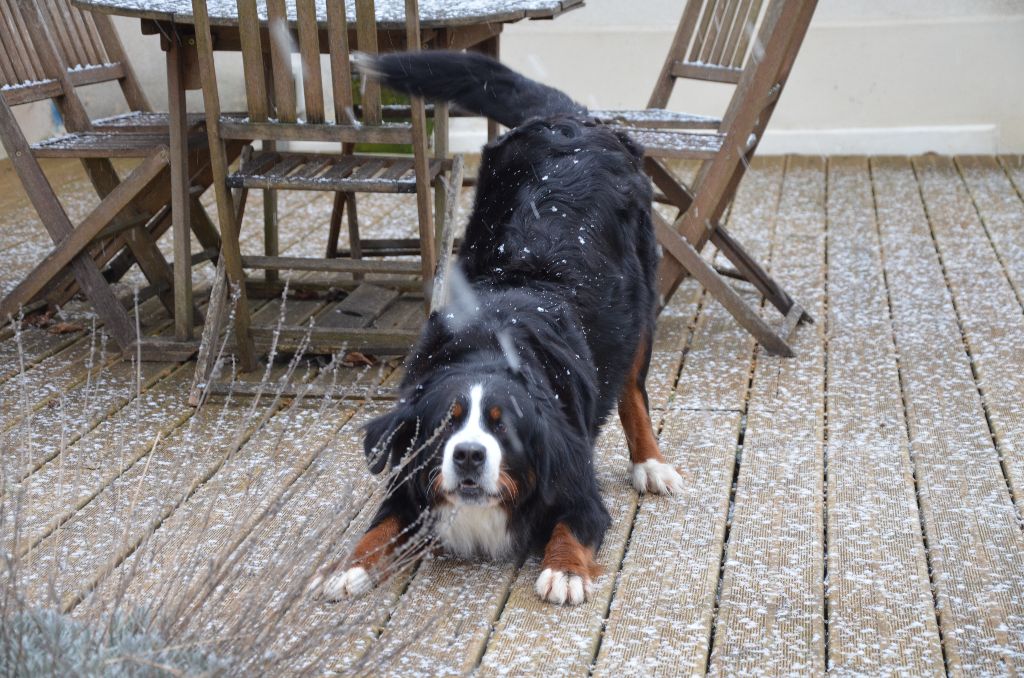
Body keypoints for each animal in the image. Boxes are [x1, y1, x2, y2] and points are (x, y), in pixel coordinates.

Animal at [307, 51, 684, 606]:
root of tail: (569, 120)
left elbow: (572, 527)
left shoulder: (579, 488)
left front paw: (565, 571)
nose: (467, 454)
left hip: (642, 305)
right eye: (446, 425)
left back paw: (650, 463)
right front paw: (347, 567)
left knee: (633, 389)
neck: (490, 345)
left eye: (502, 425)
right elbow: (379, 526)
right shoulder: (406, 479)